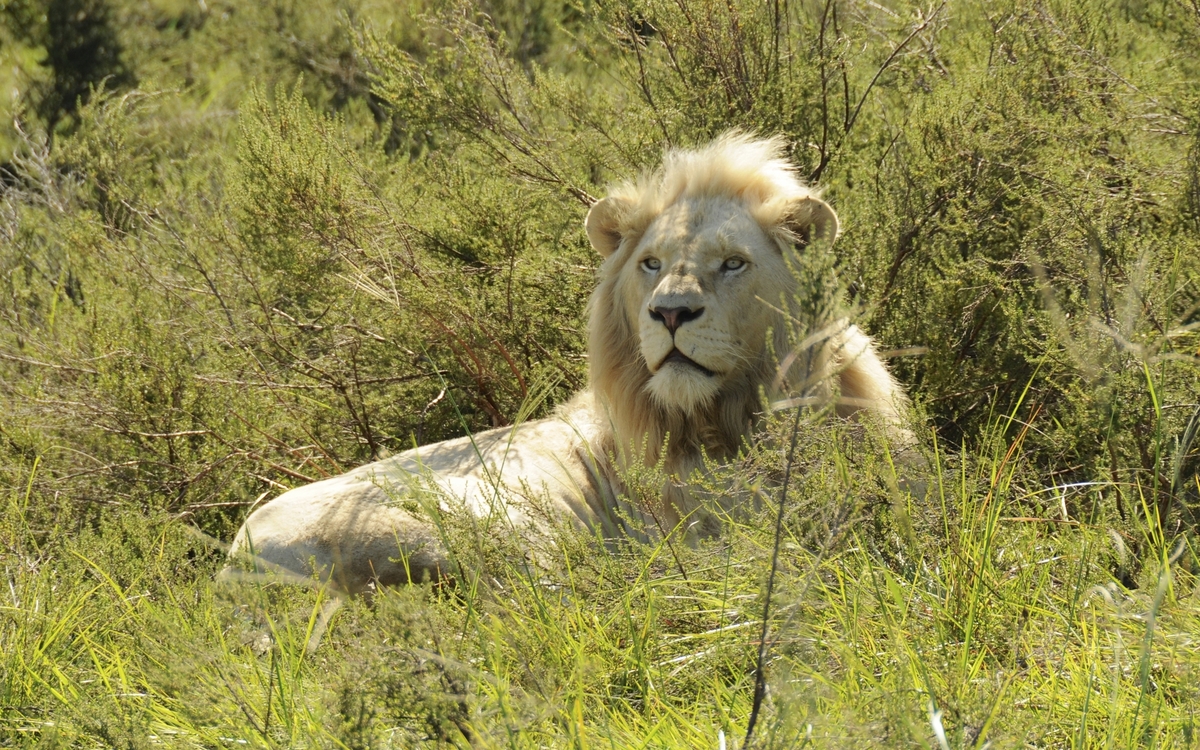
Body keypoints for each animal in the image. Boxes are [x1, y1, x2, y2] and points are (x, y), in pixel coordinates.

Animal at [226, 132, 910, 594]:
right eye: (652, 263)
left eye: (733, 263)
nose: (670, 313)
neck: (728, 420)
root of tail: (234, 567)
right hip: (491, 527)